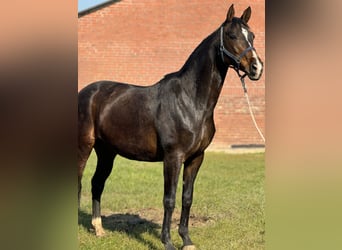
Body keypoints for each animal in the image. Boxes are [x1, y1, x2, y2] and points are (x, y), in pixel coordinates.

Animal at [79, 4, 264, 250]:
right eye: (232, 35)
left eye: (251, 36)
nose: (256, 68)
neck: (190, 100)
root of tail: (85, 92)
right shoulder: (173, 157)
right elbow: (169, 199)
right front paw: (167, 241)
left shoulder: (196, 157)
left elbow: (187, 197)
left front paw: (186, 240)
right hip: (84, 146)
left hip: (107, 152)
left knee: (97, 183)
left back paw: (99, 229)